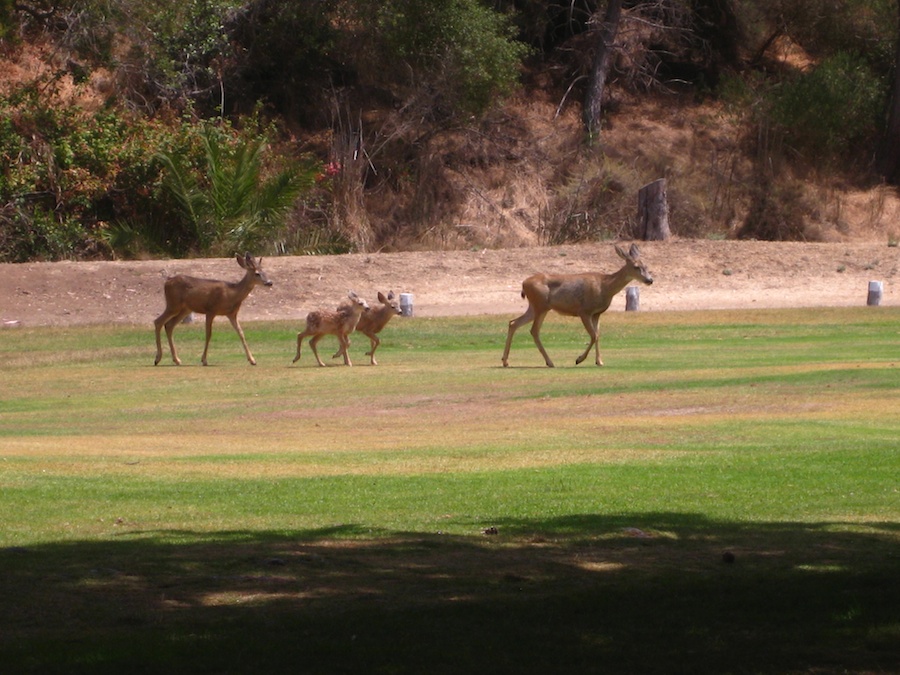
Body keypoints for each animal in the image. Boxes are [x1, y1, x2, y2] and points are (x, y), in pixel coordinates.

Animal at [500, 244, 652, 370]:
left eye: (646, 266)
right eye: (636, 266)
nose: (650, 280)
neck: (605, 287)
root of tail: (523, 283)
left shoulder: (597, 313)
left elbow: (598, 335)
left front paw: (599, 361)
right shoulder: (584, 311)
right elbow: (593, 335)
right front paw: (579, 359)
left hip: (534, 307)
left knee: (513, 323)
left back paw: (505, 361)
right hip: (540, 306)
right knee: (534, 330)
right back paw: (550, 362)